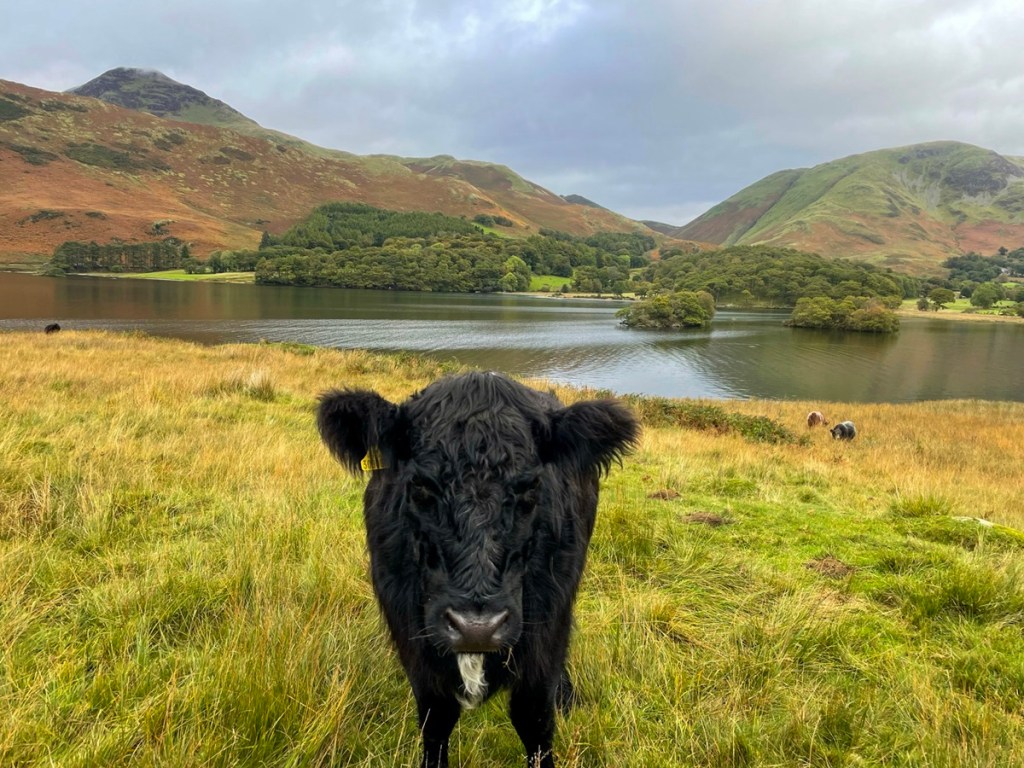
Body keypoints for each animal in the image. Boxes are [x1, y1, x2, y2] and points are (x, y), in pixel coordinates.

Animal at [316, 371, 639, 768]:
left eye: (530, 488)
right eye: (421, 486)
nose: (477, 628)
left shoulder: (546, 628)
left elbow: (534, 719)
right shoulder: (413, 638)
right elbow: (436, 719)